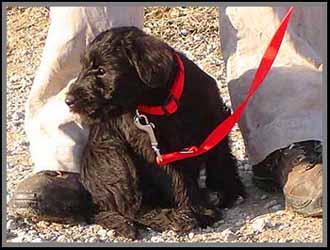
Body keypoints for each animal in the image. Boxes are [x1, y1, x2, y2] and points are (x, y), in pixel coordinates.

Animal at [65, 26, 245, 238]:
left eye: (102, 70)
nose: (68, 100)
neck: (164, 103)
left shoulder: (216, 121)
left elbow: (221, 157)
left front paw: (229, 189)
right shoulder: (153, 149)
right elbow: (177, 179)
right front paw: (198, 211)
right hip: (112, 157)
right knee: (133, 209)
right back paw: (175, 218)